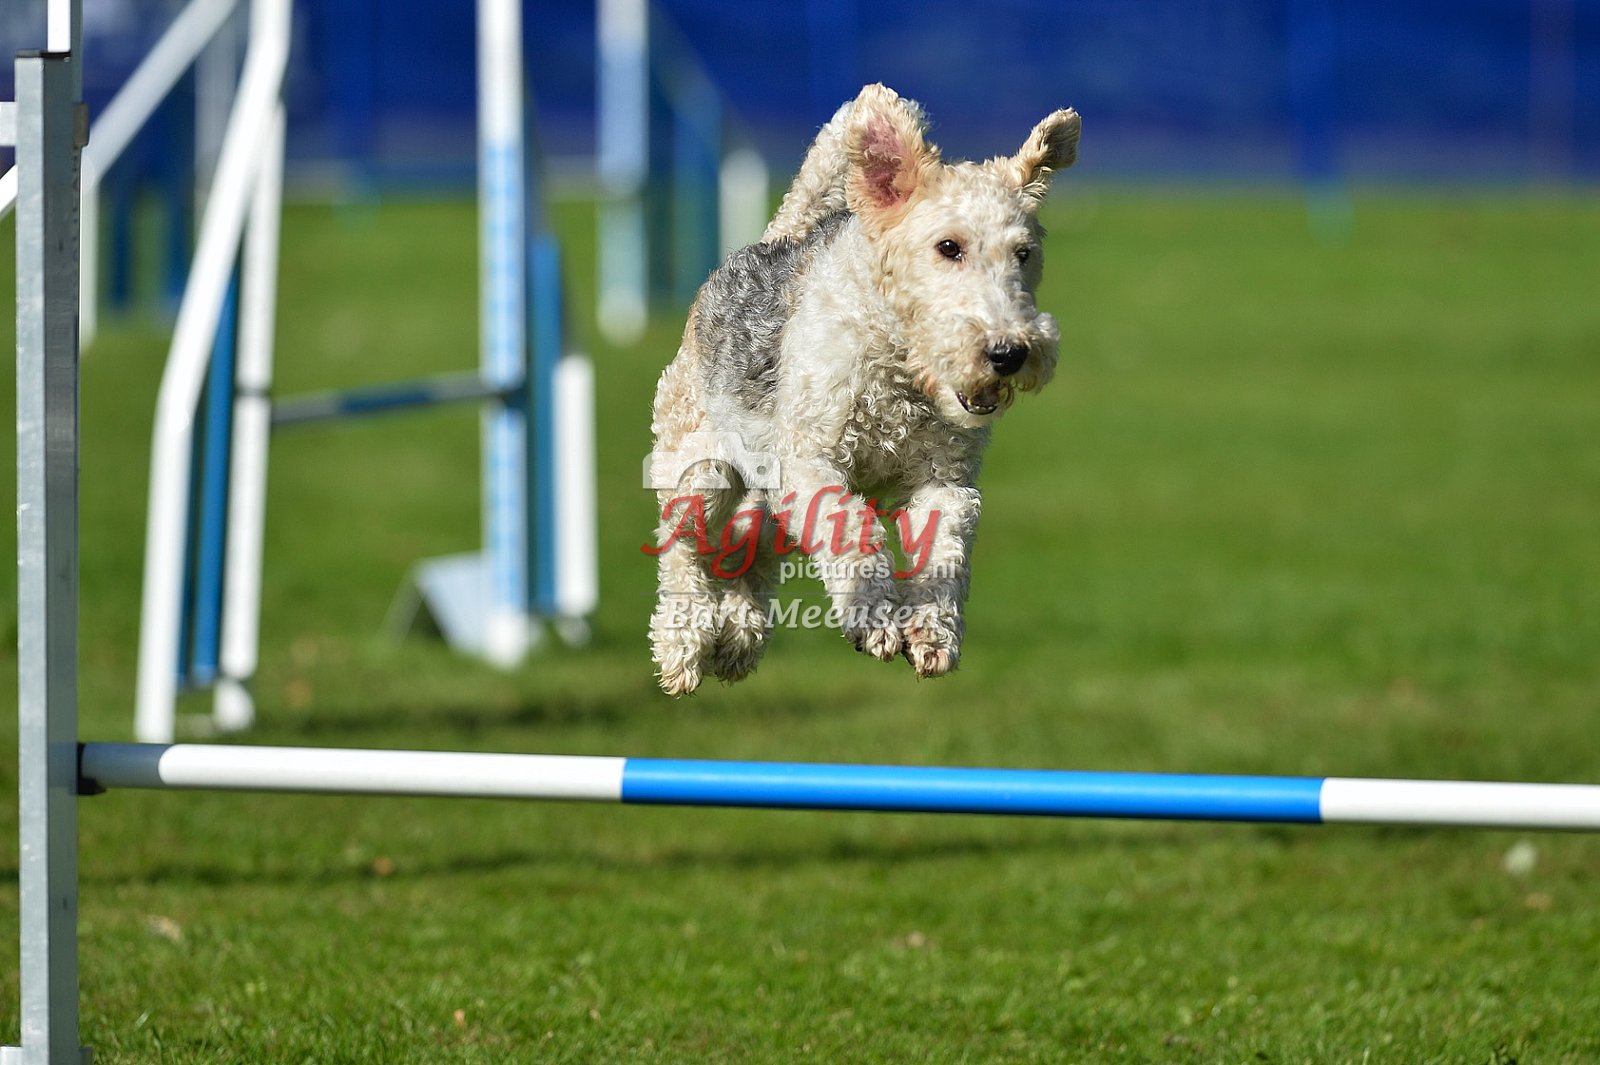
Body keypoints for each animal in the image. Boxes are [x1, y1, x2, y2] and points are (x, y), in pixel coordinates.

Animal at [647, 84, 1079, 696]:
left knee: (754, 544)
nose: (1008, 353)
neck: (897, 363)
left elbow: (945, 552)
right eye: (949, 247)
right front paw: (875, 622)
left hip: (763, 480)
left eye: (1024, 253)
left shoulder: (945, 479)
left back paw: (738, 642)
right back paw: (682, 649)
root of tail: (780, 236)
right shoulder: (812, 458)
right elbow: (853, 527)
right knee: (684, 547)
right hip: (699, 467)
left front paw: (931, 637)